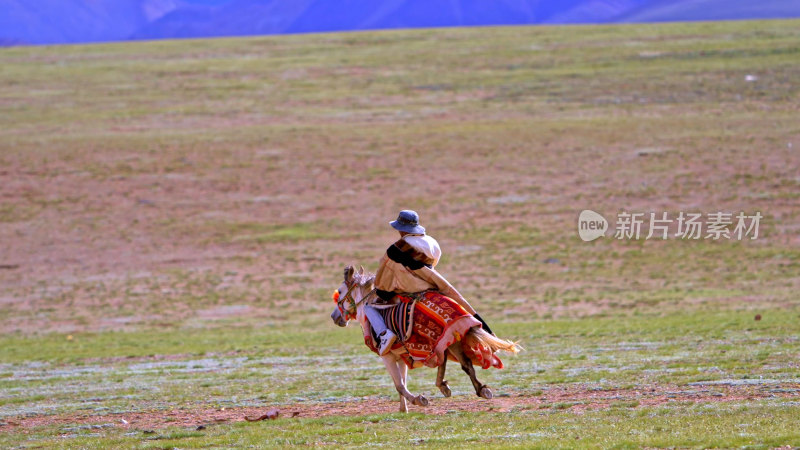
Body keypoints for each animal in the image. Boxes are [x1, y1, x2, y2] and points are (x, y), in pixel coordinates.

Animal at [330, 266, 520, 414]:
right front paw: (404, 409)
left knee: (453, 361)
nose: (334, 317)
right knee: (463, 364)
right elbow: (402, 382)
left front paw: (418, 400)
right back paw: (478, 390)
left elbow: (399, 384)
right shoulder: (400, 356)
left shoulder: (388, 356)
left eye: (340, 291)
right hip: (453, 339)